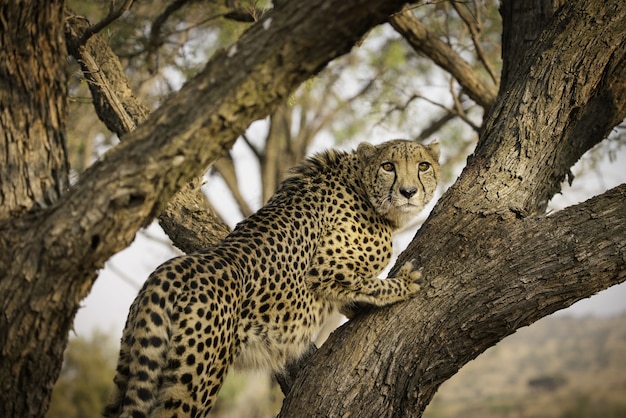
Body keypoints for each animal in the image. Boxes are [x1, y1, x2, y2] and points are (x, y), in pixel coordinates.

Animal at [103, 139, 438, 416]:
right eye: (388, 166)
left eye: (423, 166)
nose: (409, 192)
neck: (360, 183)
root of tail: (168, 270)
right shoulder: (324, 267)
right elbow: (365, 283)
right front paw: (404, 284)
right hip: (194, 380)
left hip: (131, 365)